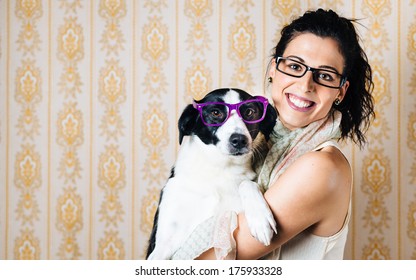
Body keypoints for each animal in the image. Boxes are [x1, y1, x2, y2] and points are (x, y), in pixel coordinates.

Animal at [145, 88, 276, 260]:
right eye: (215, 112)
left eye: (249, 112)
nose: (239, 140)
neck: (219, 169)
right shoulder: (162, 244)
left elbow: (246, 183)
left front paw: (260, 218)